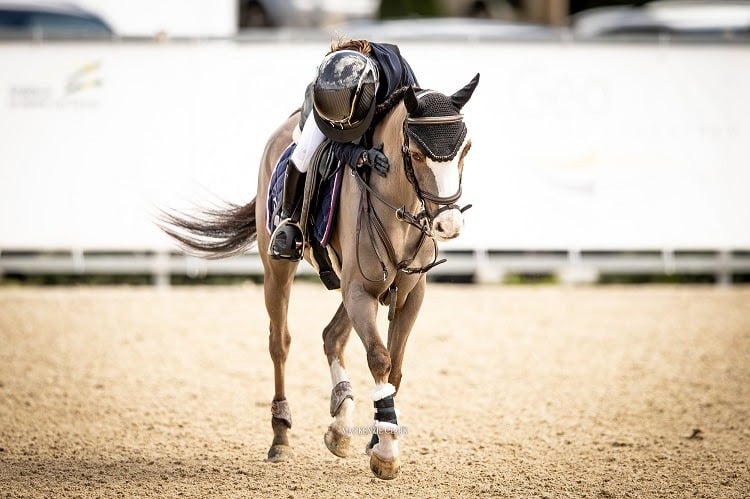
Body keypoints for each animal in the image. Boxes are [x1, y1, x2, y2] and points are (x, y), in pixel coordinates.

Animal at [162, 75, 484, 480]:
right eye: (415, 153)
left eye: (466, 149)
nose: (448, 224)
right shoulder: (359, 289)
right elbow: (380, 359)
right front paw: (386, 453)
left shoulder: (409, 294)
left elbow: (395, 367)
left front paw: (378, 438)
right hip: (281, 271)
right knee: (280, 343)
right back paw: (281, 436)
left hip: (361, 287)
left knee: (332, 336)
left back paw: (341, 424)